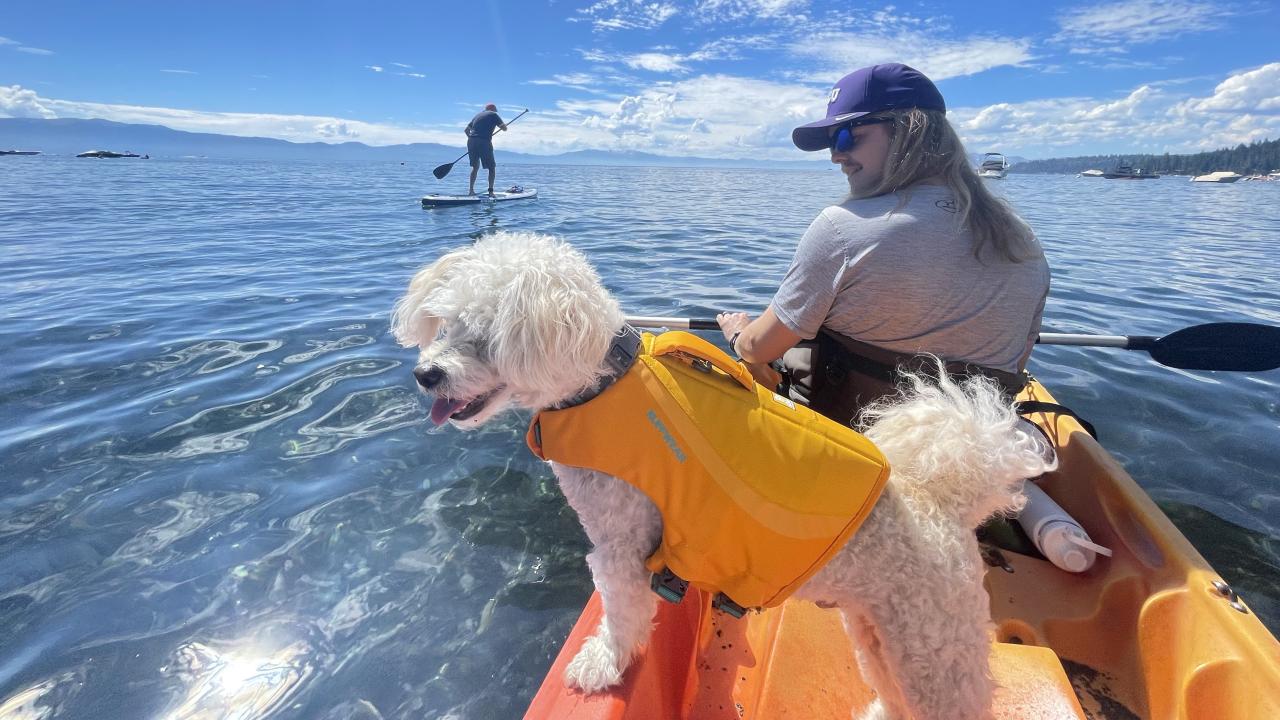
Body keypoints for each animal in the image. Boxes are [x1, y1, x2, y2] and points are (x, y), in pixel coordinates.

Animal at [394, 230, 1054, 717]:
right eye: (445, 324)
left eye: (486, 337)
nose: (426, 374)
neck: (601, 380)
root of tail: (944, 504)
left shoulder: (622, 541)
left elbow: (623, 612)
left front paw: (601, 665)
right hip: (879, 631)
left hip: (936, 646)